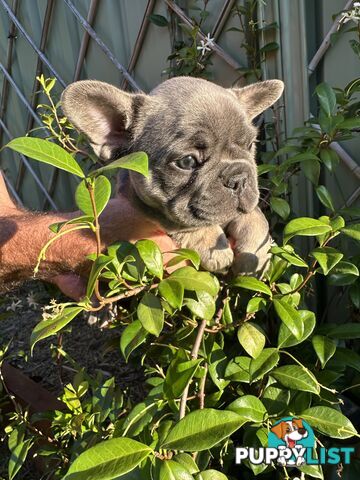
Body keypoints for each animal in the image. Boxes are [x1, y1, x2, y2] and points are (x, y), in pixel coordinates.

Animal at [62, 77, 284, 276]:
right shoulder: (147, 208)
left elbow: (257, 217)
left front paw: (256, 253)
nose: (238, 179)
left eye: (250, 145)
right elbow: (183, 222)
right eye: (187, 162)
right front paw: (210, 241)